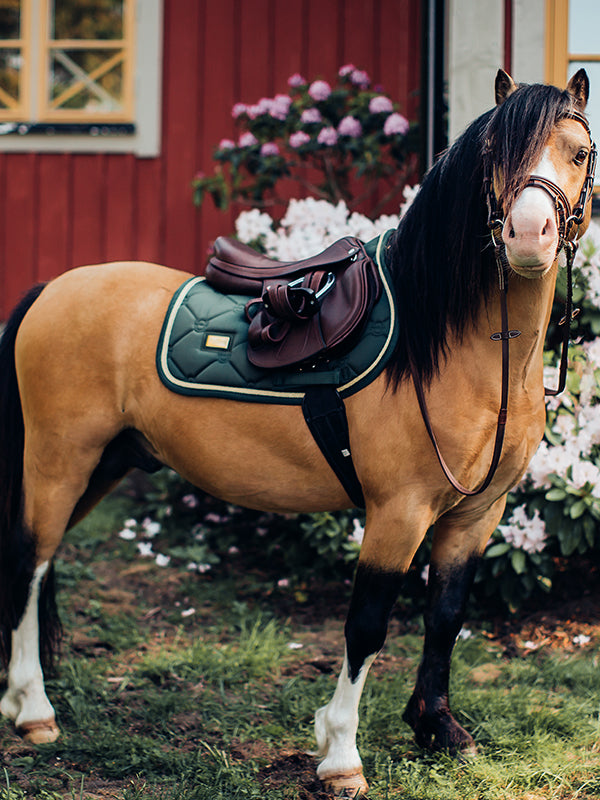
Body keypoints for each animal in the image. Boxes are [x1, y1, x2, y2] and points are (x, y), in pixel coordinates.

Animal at [0, 68, 595, 797]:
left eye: (580, 153)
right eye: (493, 154)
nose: (529, 235)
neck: (448, 349)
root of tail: (50, 289)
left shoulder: (477, 515)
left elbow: (446, 616)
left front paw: (439, 729)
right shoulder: (398, 513)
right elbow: (367, 626)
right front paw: (341, 756)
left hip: (102, 466)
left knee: (36, 562)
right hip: (59, 461)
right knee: (29, 563)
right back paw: (35, 710)